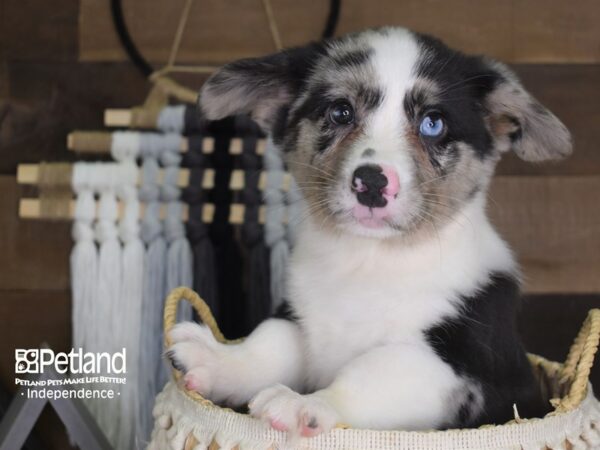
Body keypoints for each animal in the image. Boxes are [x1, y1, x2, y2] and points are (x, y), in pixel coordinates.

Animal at [168, 27, 572, 436]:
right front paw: (217, 361)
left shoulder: (455, 368)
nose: (372, 183)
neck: (367, 259)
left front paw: (305, 403)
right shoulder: (297, 320)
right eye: (341, 111)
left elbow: (368, 374)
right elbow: (269, 343)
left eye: (433, 123)